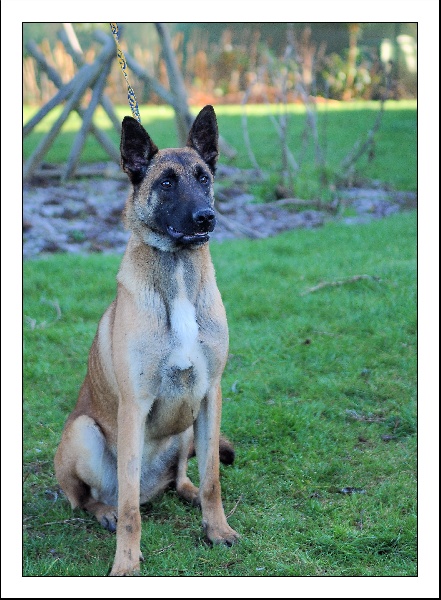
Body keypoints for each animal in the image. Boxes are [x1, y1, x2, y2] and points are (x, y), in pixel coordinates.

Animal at [55, 105, 241, 576]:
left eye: (203, 178)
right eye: (167, 183)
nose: (206, 217)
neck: (177, 272)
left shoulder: (209, 396)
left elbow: (213, 479)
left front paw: (217, 530)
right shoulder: (133, 408)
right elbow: (129, 513)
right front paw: (126, 562)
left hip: (187, 426)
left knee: (180, 475)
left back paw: (185, 490)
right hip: (83, 432)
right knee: (90, 498)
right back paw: (104, 510)